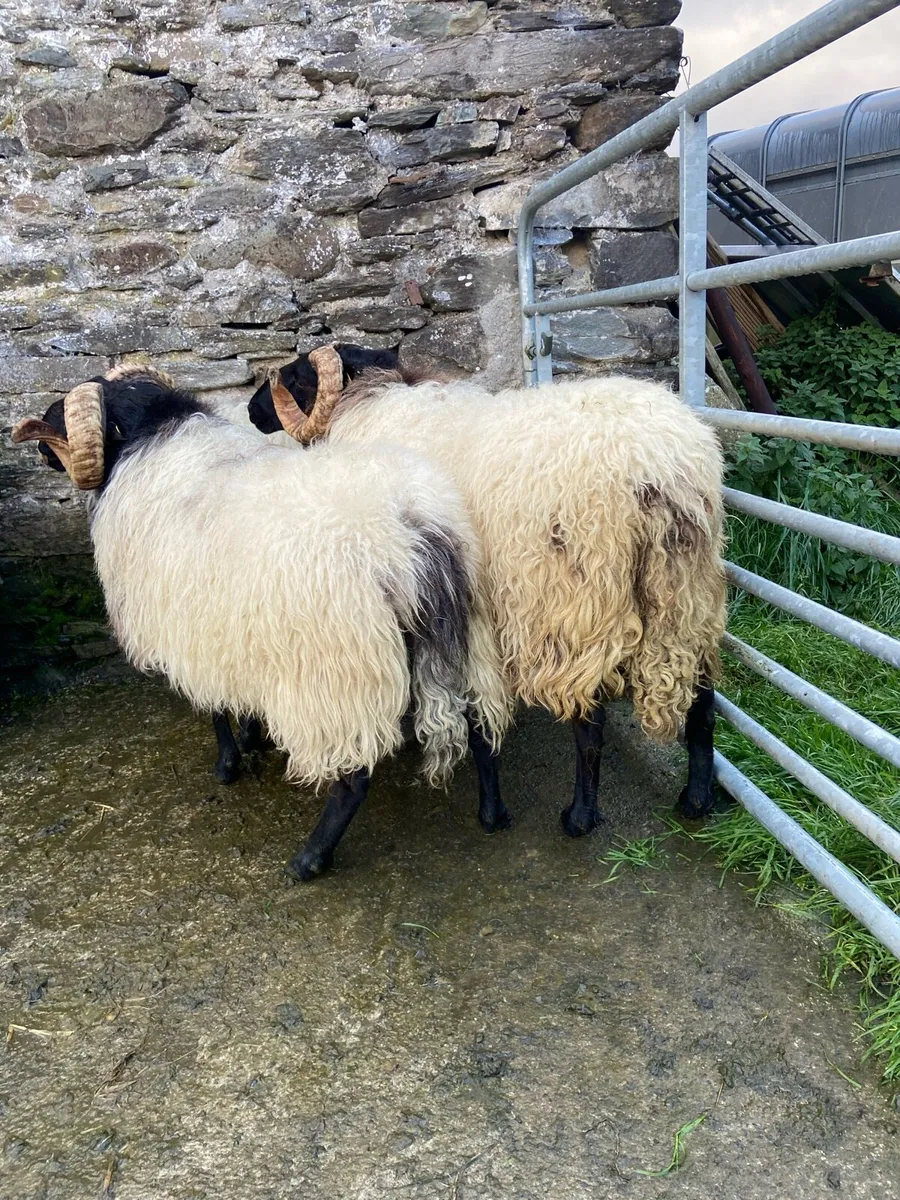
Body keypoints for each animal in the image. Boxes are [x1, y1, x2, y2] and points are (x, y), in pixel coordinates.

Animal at [12, 359, 511, 879]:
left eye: (66, 411)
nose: (42, 446)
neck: (152, 441)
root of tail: (410, 533)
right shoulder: (239, 633)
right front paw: (254, 738)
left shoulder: (196, 632)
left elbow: (214, 707)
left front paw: (228, 765)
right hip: (468, 636)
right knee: (482, 729)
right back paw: (492, 814)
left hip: (339, 675)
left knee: (353, 779)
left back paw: (309, 859)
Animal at [248, 345, 727, 837]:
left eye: (294, 377)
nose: (251, 411)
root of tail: (655, 468)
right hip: (689, 597)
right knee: (703, 701)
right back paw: (697, 798)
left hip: (574, 605)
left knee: (589, 722)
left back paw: (580, 816)